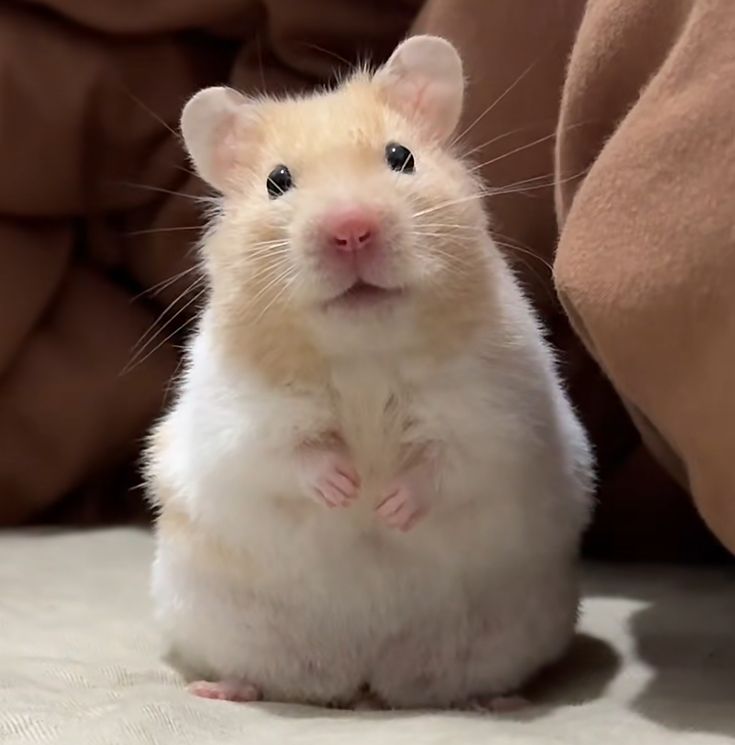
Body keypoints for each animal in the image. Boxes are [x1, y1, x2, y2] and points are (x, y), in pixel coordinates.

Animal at [146, 35, 594, 710]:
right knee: (260, 675)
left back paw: (495, 700)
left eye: (400, 157)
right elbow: (287, 454)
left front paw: (387, 508)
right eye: (278, 181)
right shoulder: (241, 416)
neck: (364, 353)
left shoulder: (493, 411)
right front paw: (347, 489)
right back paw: (218, 688)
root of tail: (365, 678)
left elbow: (448, 463)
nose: (350, 229)